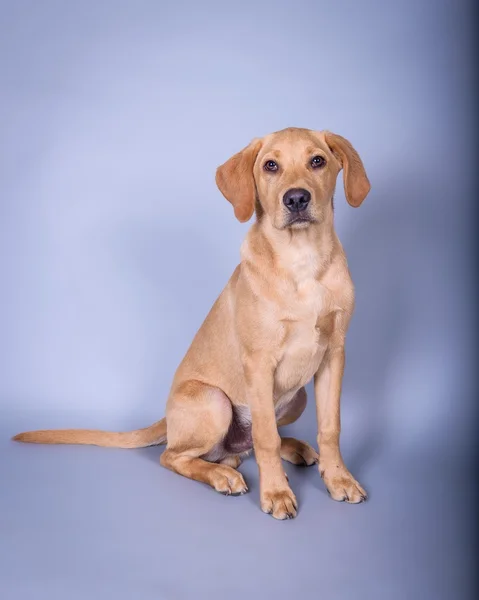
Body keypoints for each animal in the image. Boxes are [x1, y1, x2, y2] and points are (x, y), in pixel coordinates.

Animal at [12, 126, 372, 520]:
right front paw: (276, 493)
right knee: (176, 455)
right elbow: (265, 436)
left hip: (299, 397)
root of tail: (167, 418)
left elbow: (330, 428)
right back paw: (223, 475)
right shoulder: (259, 363)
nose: (296, 199)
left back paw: (289, 450)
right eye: (271, 166)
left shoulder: (334, 354)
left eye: (317, 161)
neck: (301, 260)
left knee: (246, 445)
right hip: (215, 402)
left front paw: (338, 479)